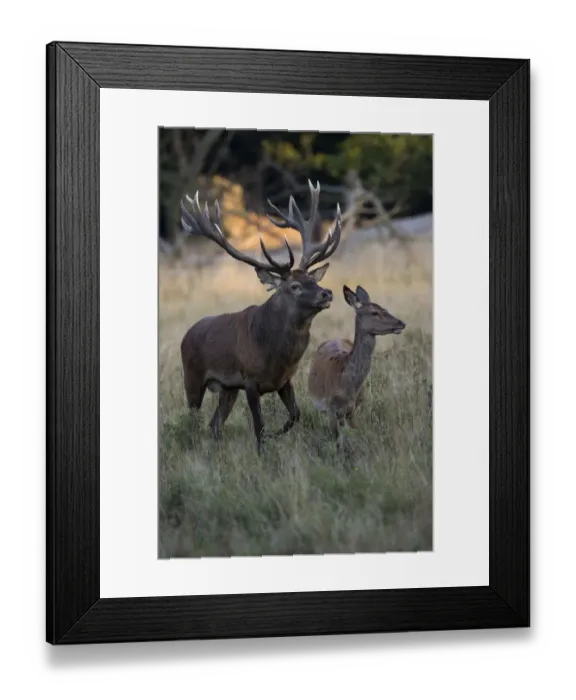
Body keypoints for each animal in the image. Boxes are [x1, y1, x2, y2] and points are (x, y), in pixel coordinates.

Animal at [179, 180, 343, 453]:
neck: (275, 354)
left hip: (227, 388)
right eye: (294, 286)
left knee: (214, 423)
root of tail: (186, 335)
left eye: (312, 279)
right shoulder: (250, 381)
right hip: (192, 377)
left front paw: (277, 436)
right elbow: (259, 426)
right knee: (193, 421)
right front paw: (263, 452)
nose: (326, 293)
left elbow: (295, 415)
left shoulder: (284, 380)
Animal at [307, 285, 406, 453]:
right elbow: (337, 442)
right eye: (374, 312)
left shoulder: (353, 410)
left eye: (384, 308)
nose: (401, 323)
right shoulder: (331, 409)